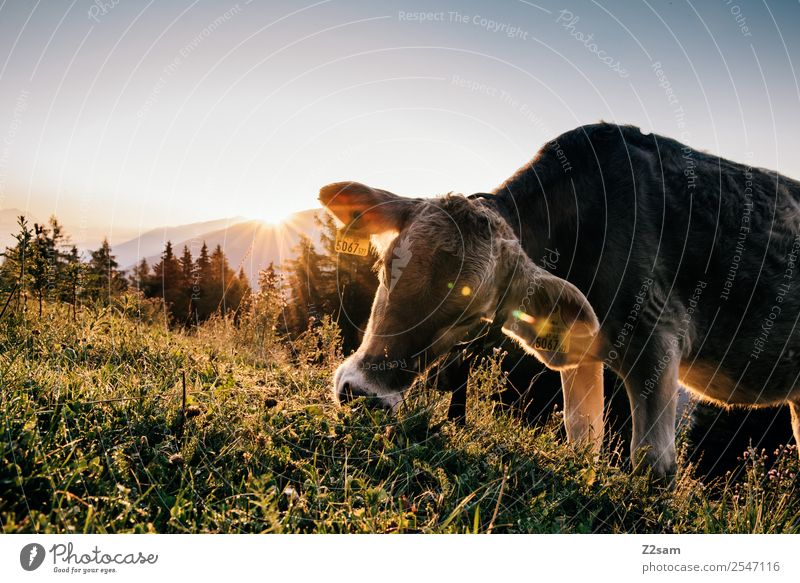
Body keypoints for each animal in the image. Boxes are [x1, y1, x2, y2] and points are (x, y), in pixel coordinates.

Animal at [318, 122, 800, 480]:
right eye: (386, 269)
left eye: (469, 318)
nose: (362, 394)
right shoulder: (581, 352)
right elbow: (582, 435)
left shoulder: (658, 340)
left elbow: (653, 464)